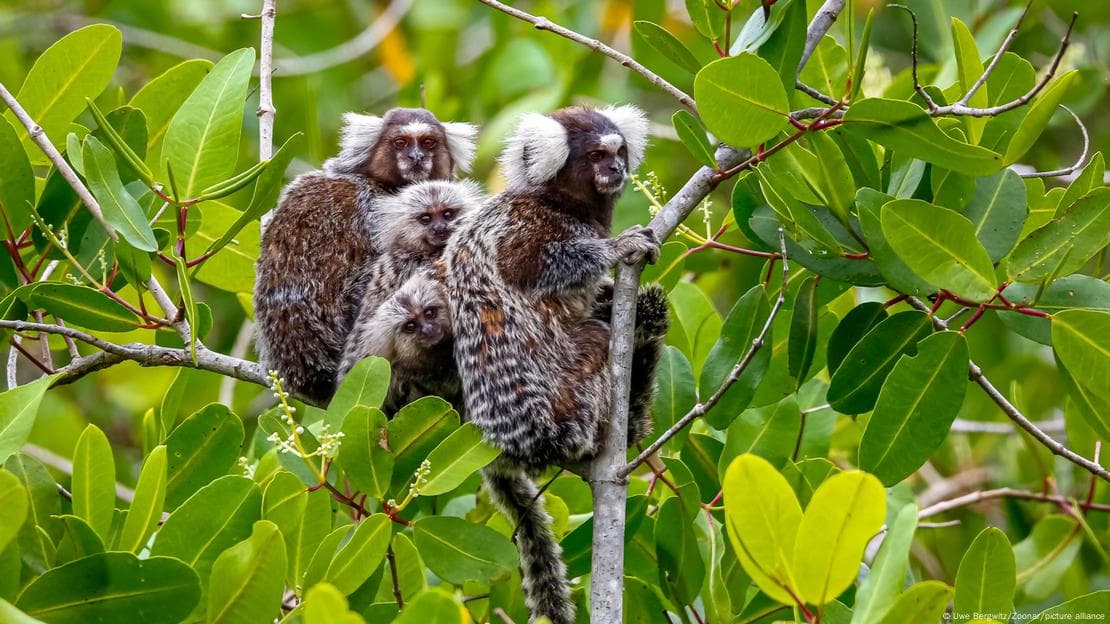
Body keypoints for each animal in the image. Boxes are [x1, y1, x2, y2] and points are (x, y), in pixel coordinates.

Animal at [442, 105, 669, 624]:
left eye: (619, 150)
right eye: (597, 155)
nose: (617, 168)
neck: (564, 205)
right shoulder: (523, 226)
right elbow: (532, 266)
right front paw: (616, 249)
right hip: (568, 403)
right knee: (596, 341)